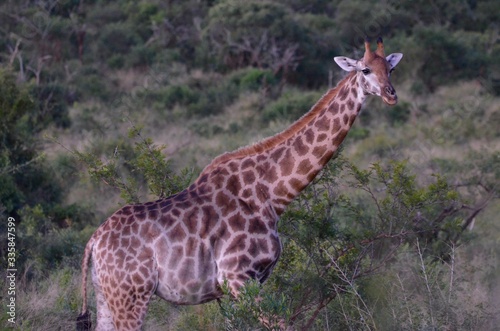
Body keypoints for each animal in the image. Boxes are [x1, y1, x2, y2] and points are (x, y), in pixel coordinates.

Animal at [77, 37, 402, 330]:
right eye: (365, 70)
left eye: (390, 68)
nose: (391, 95)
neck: (272, 193)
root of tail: (94, 242)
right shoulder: (237, 276)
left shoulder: (248, 281)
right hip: (131, 295)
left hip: (107, 296)